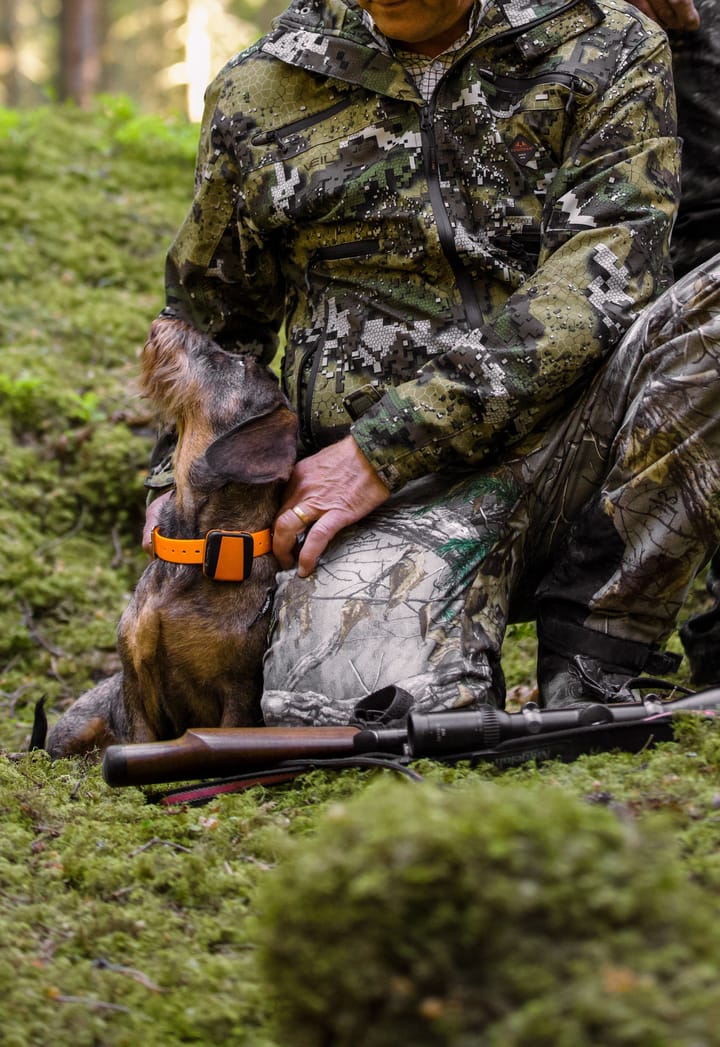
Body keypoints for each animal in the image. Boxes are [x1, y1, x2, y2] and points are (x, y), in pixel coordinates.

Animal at [40, 314, 295, 758]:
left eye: (235, 362)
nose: (171, 317)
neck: (193, 552)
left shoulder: (239, 696)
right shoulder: (135, 684)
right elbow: (139, 736)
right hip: (74, 726)